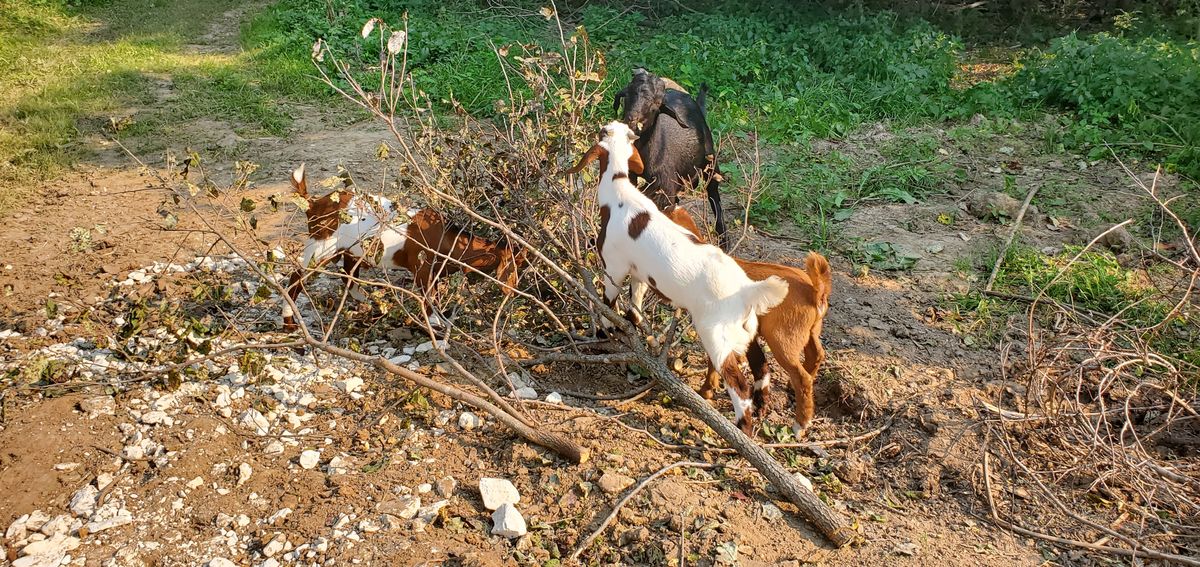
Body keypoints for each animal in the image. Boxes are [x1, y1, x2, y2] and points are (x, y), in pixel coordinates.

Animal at [281, 164, 525, 332]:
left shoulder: (435, 273)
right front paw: (434, 324)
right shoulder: (422, 269)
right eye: (517, 263)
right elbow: (429, 299)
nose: (516, 291)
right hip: (321, 246)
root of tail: (312, 204)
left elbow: (435, 297)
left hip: (351, 250)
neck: (447, 240)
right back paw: (289, 323)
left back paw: (370, 305)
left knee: (348, 276)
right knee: (296, 278)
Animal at [567, 121, 788, 434]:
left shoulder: (614, 267)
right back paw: (759, 407)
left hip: (715, 335)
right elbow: (635, 305)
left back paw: (739, 428)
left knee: (739, 384)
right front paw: (636, 328)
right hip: (746, 330)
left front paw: (602, 335)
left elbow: (607, 305)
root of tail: (746, 292)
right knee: (761, 365)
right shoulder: (640, 273)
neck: (620, 191)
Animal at [613, 67, 728, 249]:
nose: (632, 121)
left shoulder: (665, 188)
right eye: (628, 94)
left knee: (714, 195)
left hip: (710, 163)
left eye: (656, 105)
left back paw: (724, 241)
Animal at [662, 205, 832, 436]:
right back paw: (793, 389)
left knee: (802, 376)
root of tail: (815, 290)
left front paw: (706, 391)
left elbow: (714, 362)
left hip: (782, 339)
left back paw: (800, 424)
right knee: (816, 355)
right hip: (811, 331)